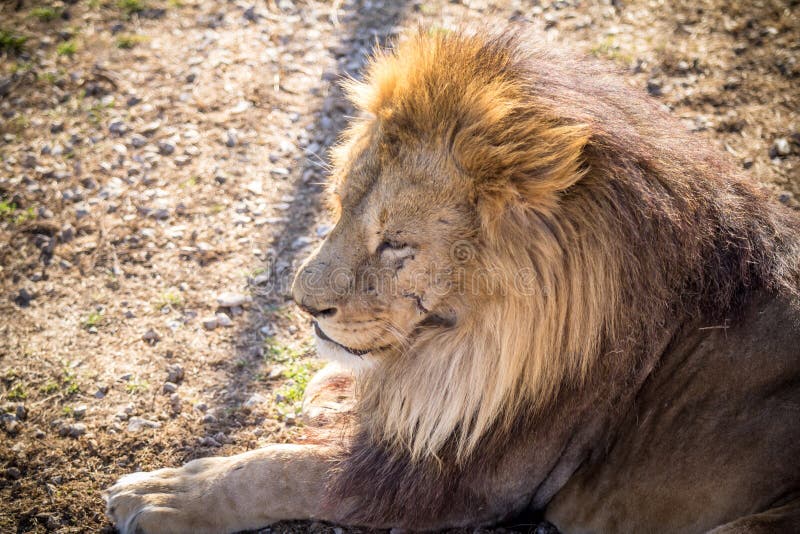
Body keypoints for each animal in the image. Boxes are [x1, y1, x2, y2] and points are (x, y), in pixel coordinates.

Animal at [106, 30, 800, 534]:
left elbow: (289, 469)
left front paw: (168, 493)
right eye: (339, 204)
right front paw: (339, 392)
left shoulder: (476, 481)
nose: (303, 305)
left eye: (395, 244)